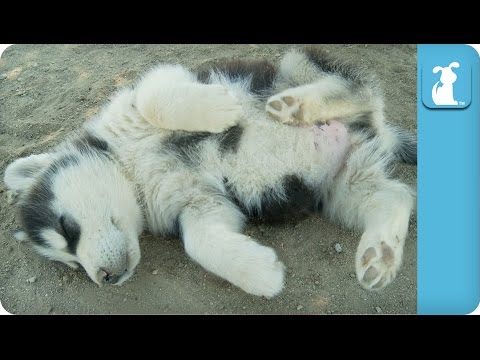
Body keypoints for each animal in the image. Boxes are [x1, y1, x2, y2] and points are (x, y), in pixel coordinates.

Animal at [2, 45, 416, 298]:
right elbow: (199, 241)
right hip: (342, 185)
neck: (132, 170)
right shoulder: (201, 204)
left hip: (293, 64)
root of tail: (378, 129)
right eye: (72, 264)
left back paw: (296, 104)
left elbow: (153, 98)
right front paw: (261, 273)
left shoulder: (154, 87)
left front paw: (219, 110)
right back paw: (380, 257)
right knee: (395, 196)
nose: (107, 279)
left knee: (359, 88)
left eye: (66, 229)